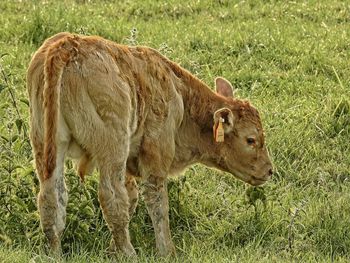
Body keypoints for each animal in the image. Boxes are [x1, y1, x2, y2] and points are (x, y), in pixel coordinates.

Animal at [27, 33, 274, 258]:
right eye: (251, 139)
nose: (269, 170)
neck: (179, 96)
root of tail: (67, 45)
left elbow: (132, 197)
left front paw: (111, 250)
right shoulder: (155, 157)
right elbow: (157, 202)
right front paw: (167, 251)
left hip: (48, 144)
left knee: (51, 196)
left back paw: (55, 253)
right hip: (112, 147)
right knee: (111, 196)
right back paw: (130, 254)